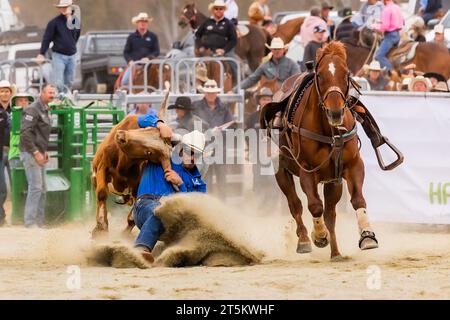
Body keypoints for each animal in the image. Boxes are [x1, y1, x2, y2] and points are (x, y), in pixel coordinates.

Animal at [262, 41, 378, 260]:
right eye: (321, 75)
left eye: (346, 73)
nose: (336, 111)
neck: (329, 130)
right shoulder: (307, 170)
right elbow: (314, 205)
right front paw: (319, 235)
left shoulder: (352, 166)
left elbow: (358, 200)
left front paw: (367, 235)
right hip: (281, 172)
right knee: (296, 205)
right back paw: (304, 240)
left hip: (333, 182)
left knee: (330, 214)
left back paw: (336, 253)